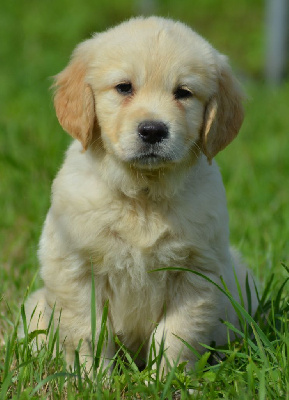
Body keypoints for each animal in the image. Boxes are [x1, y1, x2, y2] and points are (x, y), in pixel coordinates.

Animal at [22, 17, 256, 374]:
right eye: (124, 88)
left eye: (183, 92)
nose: (153, 130)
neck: (142, 195)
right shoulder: (75, 267)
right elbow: (88, 333)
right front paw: (93, 379)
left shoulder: (196, 272)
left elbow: (175, 335)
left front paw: (165, 380)